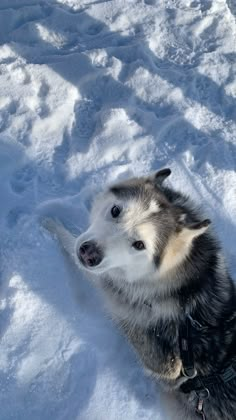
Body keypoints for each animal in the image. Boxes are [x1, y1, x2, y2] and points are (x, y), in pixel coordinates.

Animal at [43, 169, 236, 418]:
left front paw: (51, 223)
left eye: (139, 245)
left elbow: (71, 243)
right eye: (115, 211)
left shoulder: (111, 286)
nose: (89, 254)